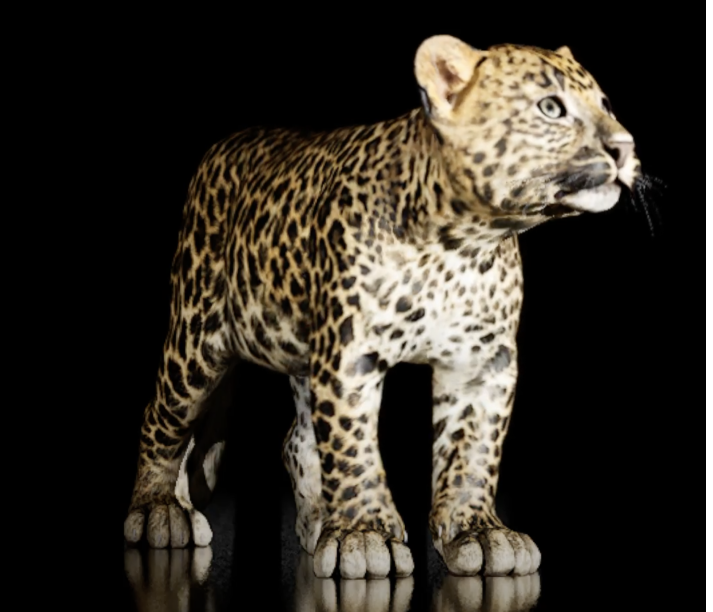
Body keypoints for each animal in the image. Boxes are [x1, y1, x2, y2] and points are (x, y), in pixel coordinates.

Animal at [123, 35, 641, 579]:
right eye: (551, 108)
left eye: (606, 104)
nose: (625, 147)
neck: (464, 243)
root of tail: (228, 142)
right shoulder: (350, 353)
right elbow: (353, 447)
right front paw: (364, 536)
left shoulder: (482, 360)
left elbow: (472, 450)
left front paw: (479, 531)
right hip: (197, 334)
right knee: (163, 417)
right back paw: (160, 511)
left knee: (297, 439)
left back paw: (315, 524)